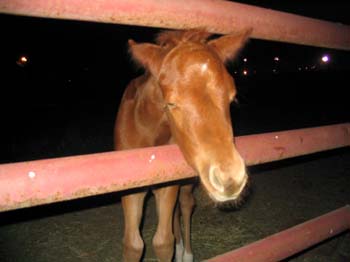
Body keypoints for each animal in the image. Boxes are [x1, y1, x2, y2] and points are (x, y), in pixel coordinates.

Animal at [115, 29, 252, 262]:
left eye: (232, 97)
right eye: (171, 102)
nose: (230, 180)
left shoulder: (168, 185)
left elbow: (163, 242)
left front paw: (177, 248)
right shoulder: (130, 189)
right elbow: (133, 244)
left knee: (186, 205)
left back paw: (185, 253)